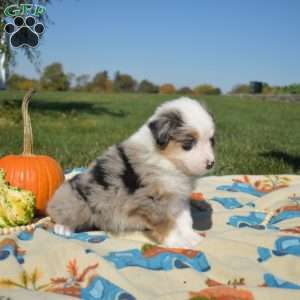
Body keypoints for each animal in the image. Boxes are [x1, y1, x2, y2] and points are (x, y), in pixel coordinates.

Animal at [46, 96, 216, 248]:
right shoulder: (151, 201)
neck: (168, 161)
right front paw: (177, 242)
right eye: (188, 144)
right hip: (78, 201)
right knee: (60, 213)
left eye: (211, 141)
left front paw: (191, 237)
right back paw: (63, 227)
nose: (211, 164)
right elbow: (166, 223)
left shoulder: (178, 198)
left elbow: (185, 219)